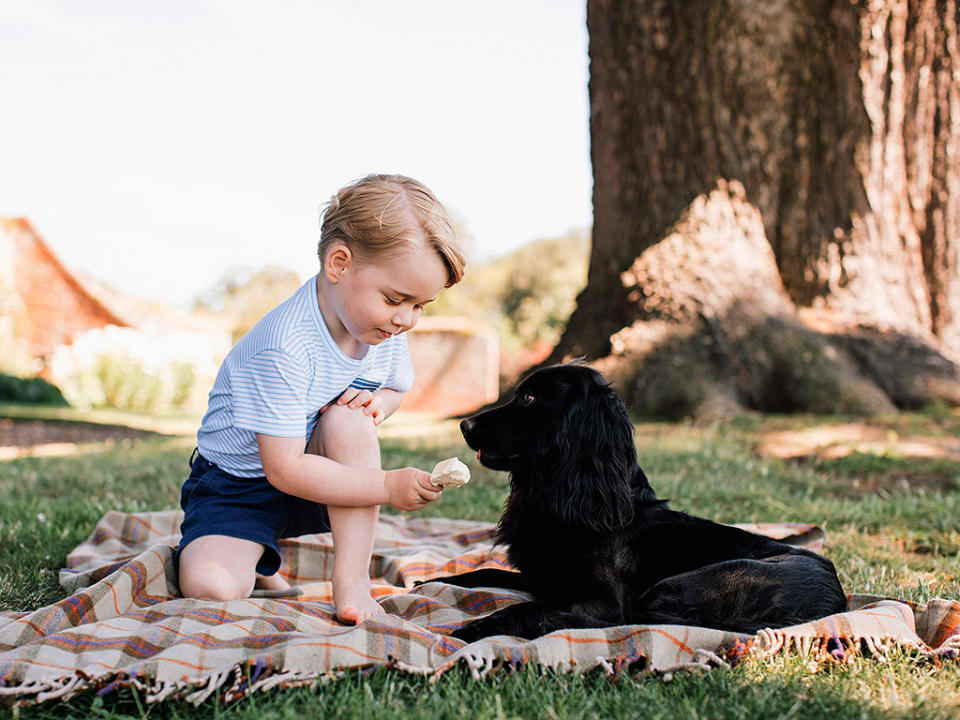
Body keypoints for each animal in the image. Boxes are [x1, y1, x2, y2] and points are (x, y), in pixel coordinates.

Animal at [436, 366, 848, 640]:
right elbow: (479, 574)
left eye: (529, 397)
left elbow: (527, 607)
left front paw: (471, 629)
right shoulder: (542, 579)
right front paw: (431, 582)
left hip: (679, 585)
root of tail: (837, 600)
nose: (464, 425)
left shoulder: (603, 601)